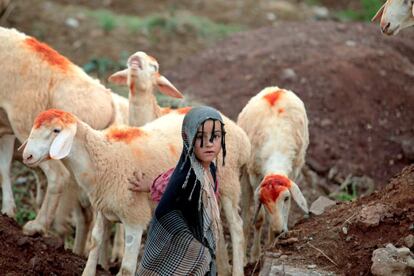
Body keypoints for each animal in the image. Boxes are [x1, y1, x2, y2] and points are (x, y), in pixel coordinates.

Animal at [0, 26, 129, 256]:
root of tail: (109, 100)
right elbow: (3, 169)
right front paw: (8, 211)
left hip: (27, 129)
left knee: (58, 177)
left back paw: (38, 226)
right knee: (91, 213)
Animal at [108, 51, 249, 274]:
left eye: (155, 67)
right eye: (130, 62)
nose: (136, 59)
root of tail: (244, 140)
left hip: (229, 182)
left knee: (236, 226)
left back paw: (235, 269)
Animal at [238, 86, 308, 264]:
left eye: (286, 198)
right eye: (263, 200)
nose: (278, 231)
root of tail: (276, 89)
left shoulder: (293, 172)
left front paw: (271, 245)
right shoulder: (255, 176)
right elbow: (259, 220)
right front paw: (255, 256)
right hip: (245, 175)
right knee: (246, 219)